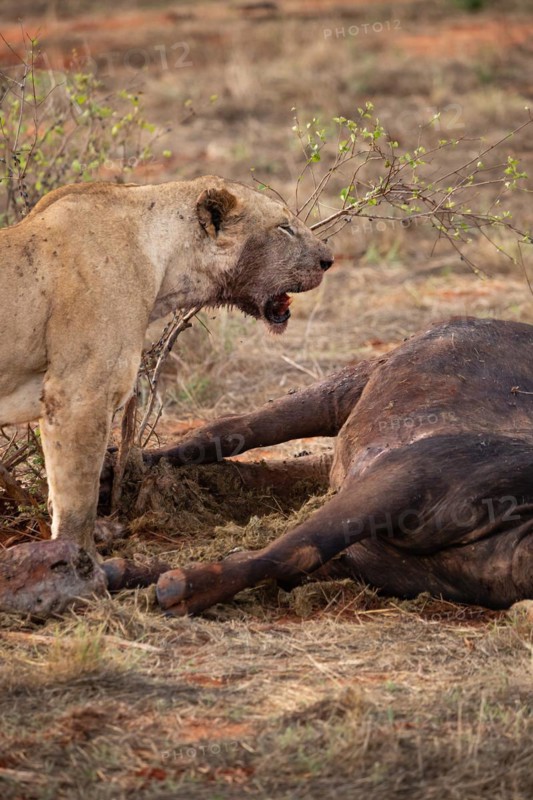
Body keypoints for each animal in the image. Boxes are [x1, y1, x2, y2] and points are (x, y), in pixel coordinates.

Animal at [0, 176, 333, 559]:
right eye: (284, 227)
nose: (329, 259)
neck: (163, 264)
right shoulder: (78, 392)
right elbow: (77, 499)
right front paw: (82, 560)